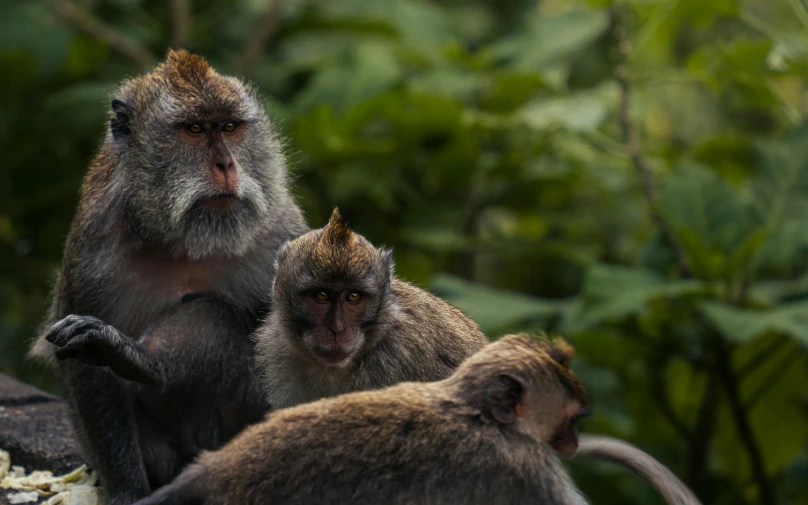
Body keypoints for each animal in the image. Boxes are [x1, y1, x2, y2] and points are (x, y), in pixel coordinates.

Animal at [30, 48, 308, 504]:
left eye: (229, 127)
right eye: (194, 129)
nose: (226, 163)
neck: (179, 239)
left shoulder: (279, 231)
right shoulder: (92, 251)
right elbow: (88, 375)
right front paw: (125, 488)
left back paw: (142, 361)